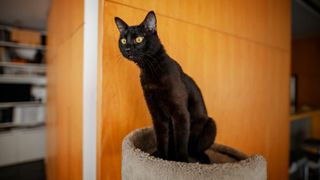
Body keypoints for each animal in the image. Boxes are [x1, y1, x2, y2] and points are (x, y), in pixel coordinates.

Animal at [115, 10, 218, 163]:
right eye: (123, 40)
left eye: (139, 39)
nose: (127, 48)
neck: (150, 69)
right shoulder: (157, 114)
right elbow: (162, 138)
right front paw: (162, 158)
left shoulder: (180, 113)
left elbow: (181, 141)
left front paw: (181, 162)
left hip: (211, 125)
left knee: (195, 150)